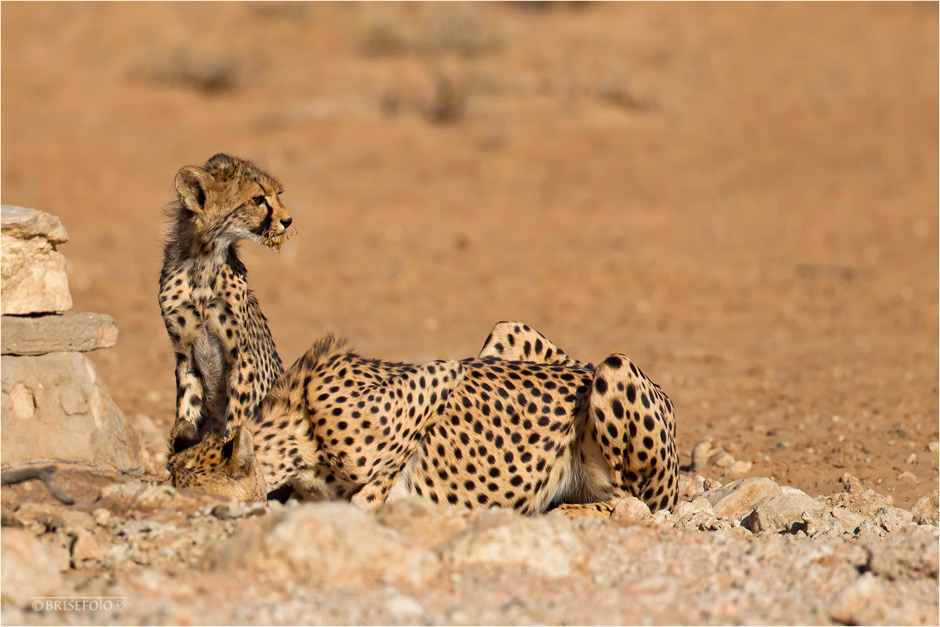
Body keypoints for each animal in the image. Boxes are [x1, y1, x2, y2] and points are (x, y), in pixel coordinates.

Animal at [160, 155, 294, 454]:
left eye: (278, 194)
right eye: (258, 199)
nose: (288, 220)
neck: (204, 261)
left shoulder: (241, 359)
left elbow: (234, 422)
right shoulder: (185, 356)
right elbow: (186, 412)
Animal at [165, 324, 672, 516]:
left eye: (190, 493)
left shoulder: (439, 373)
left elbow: (374, 486)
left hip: (612, 371)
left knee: (639, 504)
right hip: (508, 330)